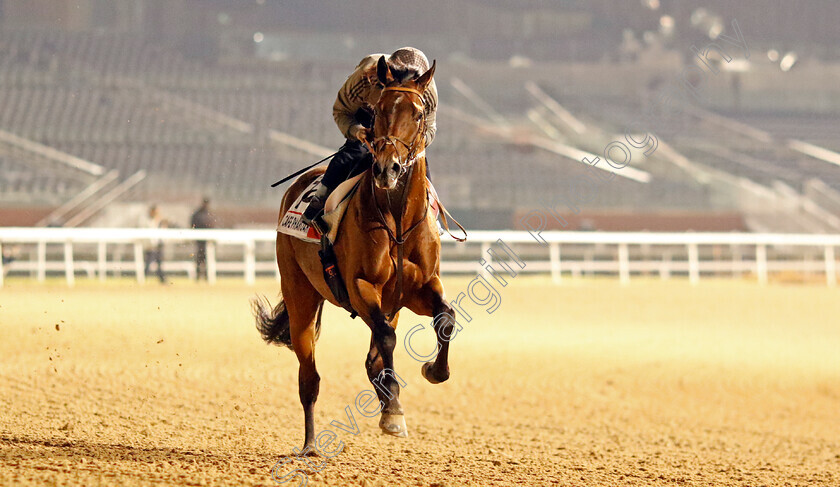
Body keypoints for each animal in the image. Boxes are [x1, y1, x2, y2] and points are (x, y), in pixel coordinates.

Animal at [254, 56, 456, 450]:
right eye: (378, 110)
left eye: (419, 113)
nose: (387, 168)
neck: (397, 222)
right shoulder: (361, 287)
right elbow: (388, 339)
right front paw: (393, 413)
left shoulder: (419, 289)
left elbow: (445, 318)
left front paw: (434, 371)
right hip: (300, 295)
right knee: (309, 376)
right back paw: (310, 444)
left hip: (391, 305)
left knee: (373, 356)